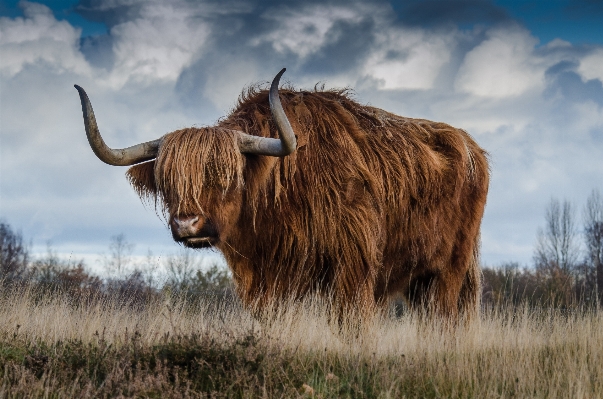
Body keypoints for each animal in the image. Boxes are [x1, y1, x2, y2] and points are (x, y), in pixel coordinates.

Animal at [75, 69, 490, 322]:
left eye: (227, 177)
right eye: (167, 181)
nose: (187, 224)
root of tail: (472, 147)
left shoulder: (353, 267)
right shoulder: (267, 279)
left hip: (450, 269)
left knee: (444, 319)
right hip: (421, 278)